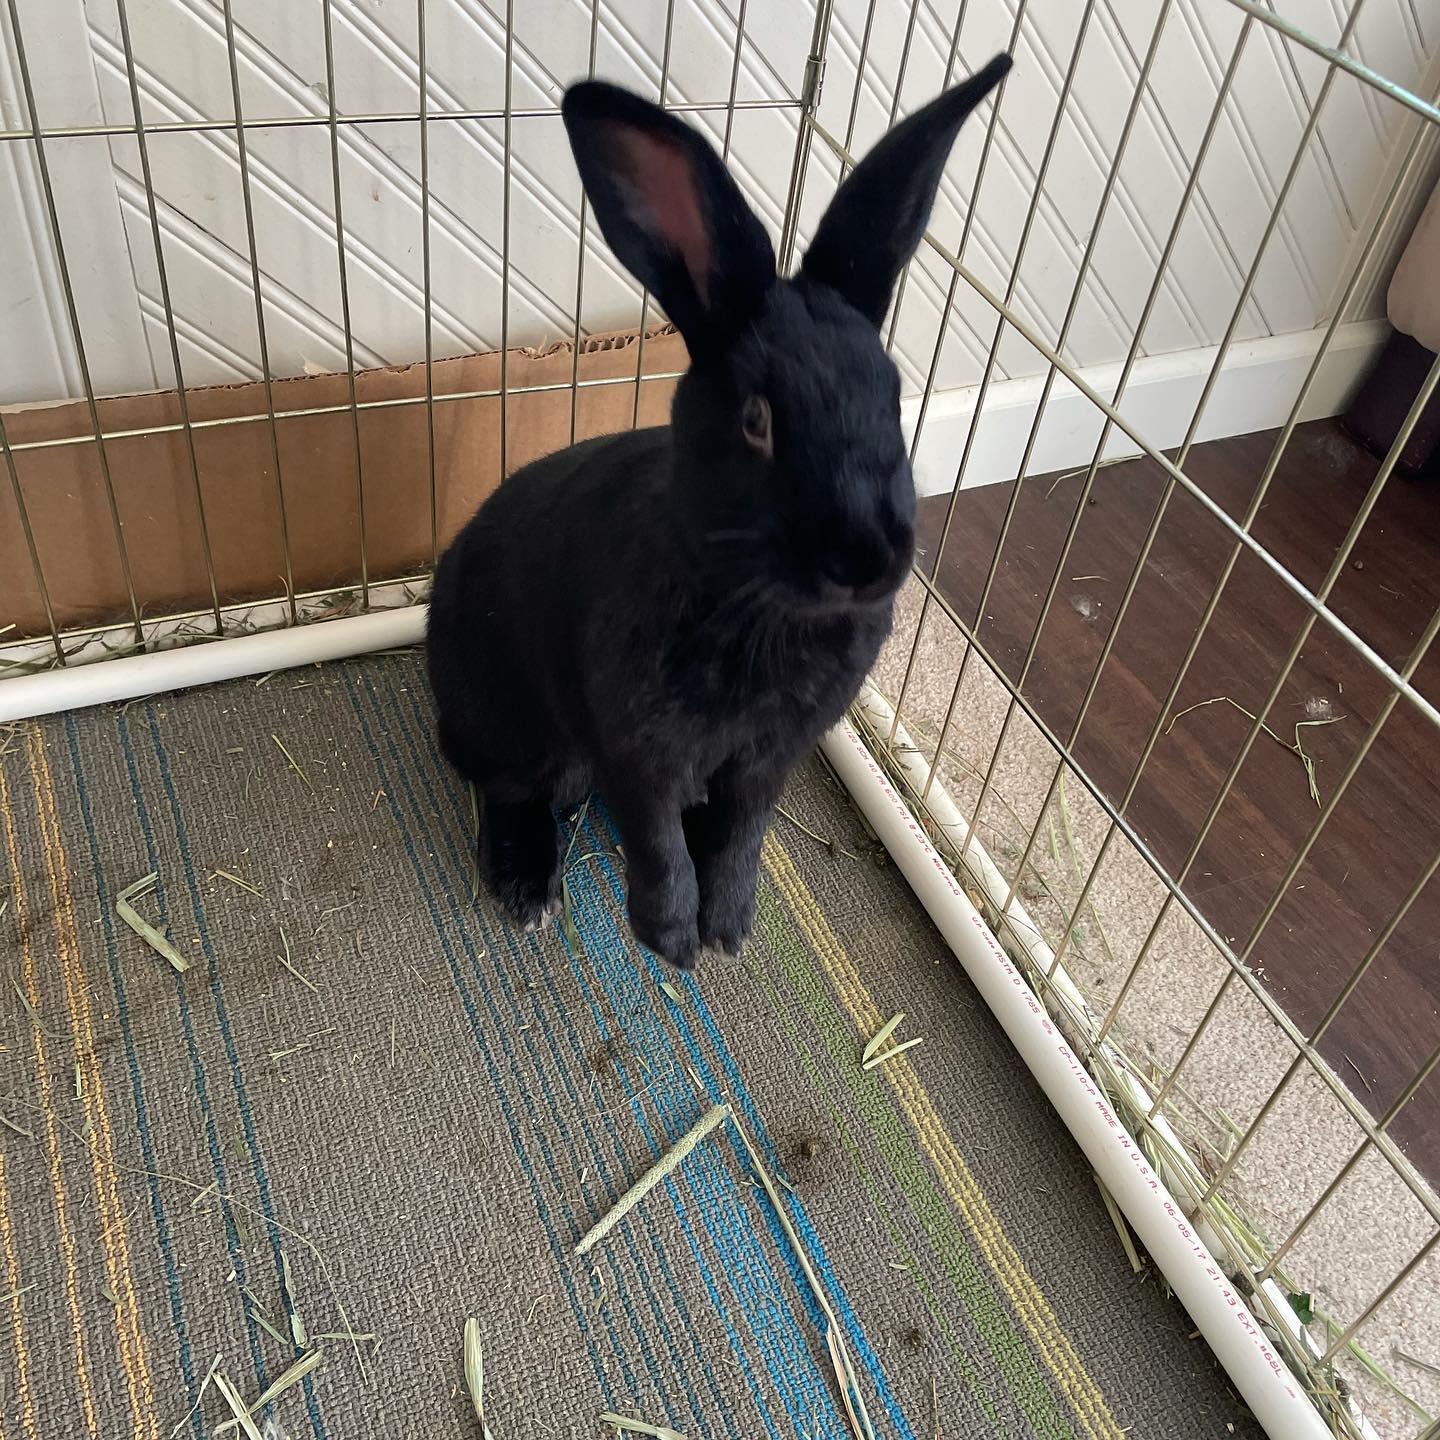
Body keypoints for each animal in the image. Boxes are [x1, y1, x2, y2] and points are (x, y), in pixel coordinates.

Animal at [427, 53, 1013, 970]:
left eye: (892, 396)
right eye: (757, 421)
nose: (867, 559)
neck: (759, 603)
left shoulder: (768, 761)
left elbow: (740, 837)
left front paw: (730, 929)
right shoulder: (641, 754)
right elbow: (660, 843)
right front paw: (673, 941)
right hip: (507, 719)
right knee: (503, 785)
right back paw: (526, 892)